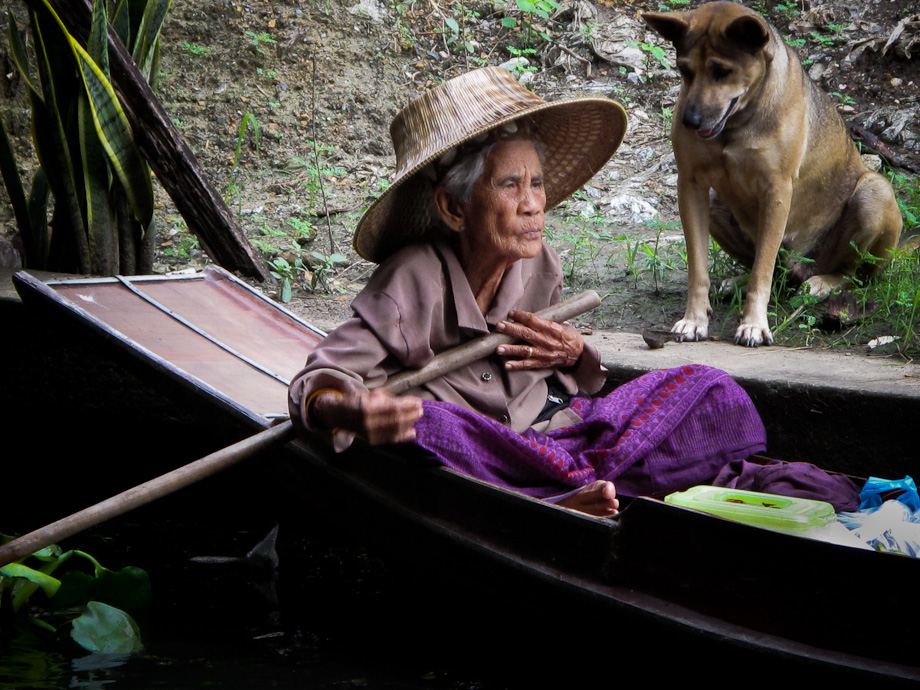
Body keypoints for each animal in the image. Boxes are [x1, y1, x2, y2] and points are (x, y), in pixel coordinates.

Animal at [644, 0, 904, 344]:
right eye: (685, 70)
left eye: (722, 71)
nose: (691, 120)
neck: (737, 123)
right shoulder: (691, 184)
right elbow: (699, 268)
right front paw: (694, 319)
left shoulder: (776, 191)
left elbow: (762, 273)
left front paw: (754, 323)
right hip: (715, 203)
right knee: (769, 271)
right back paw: (737, 282)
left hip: (874, 192)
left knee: (851, 273)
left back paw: (822, 282)